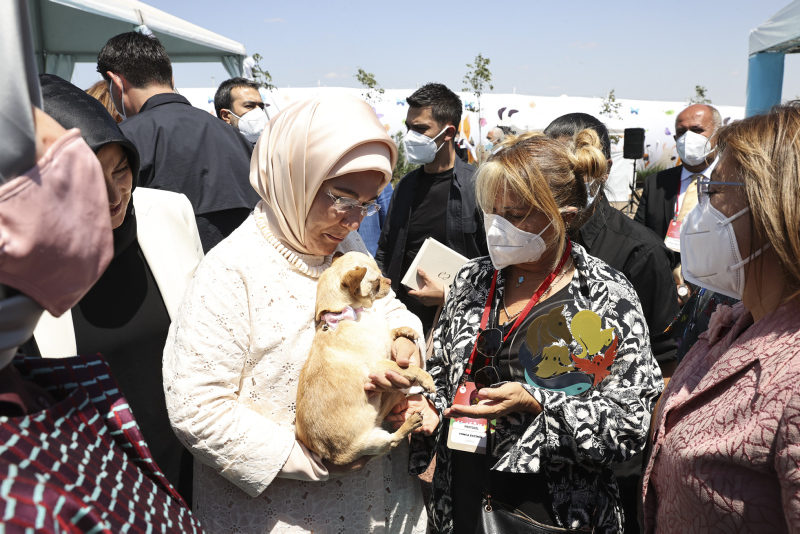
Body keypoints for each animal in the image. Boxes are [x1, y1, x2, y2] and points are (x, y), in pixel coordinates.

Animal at [296, 253, 434, 466]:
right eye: (376, 282)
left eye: (382, 274)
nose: (390, 281)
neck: (348, 314)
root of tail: (331, 457)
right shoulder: (379, 365)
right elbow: (408, 369)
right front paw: (427, 379)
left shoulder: (383, 336)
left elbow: (390, 331)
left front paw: (407, 331)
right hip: (374, 441)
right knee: (393, 441)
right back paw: (410, 423)